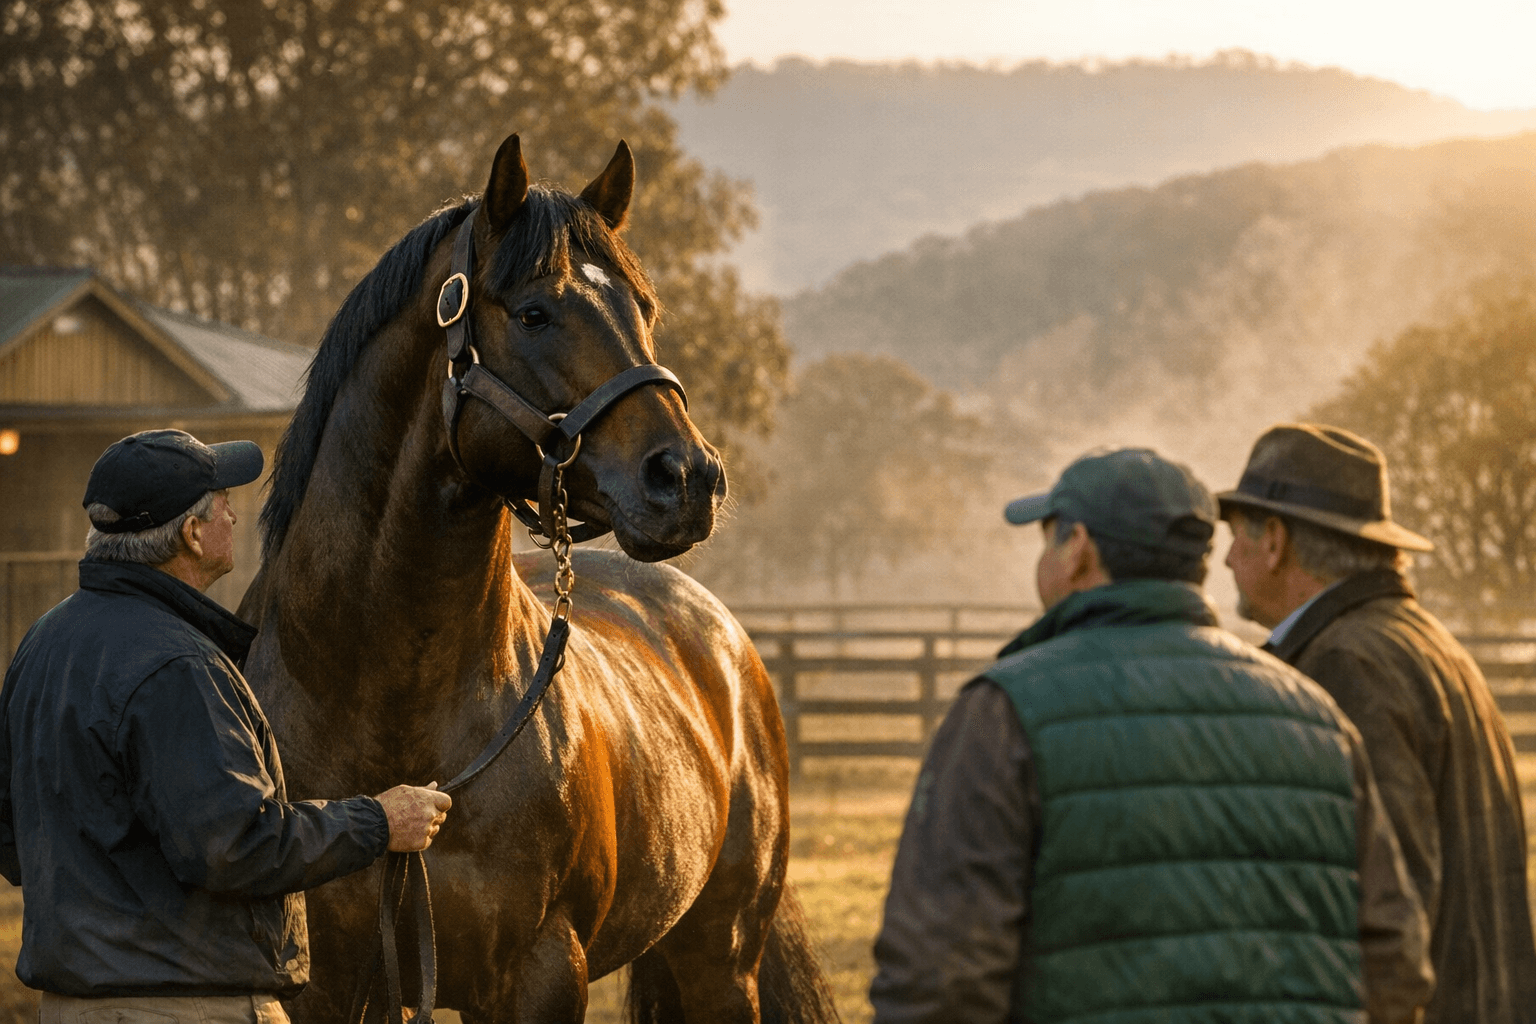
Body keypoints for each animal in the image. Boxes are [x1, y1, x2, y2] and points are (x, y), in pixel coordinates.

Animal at [237, 133, 839, 1023]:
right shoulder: (334, 988)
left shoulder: (541, 973)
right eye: (533, 313)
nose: (688, 478)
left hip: (721, 959)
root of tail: (726, 642)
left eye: (644, 310)